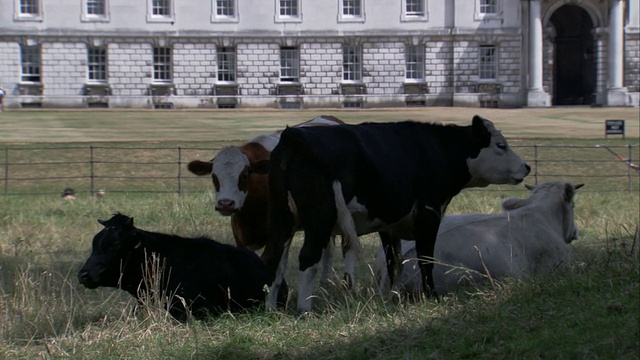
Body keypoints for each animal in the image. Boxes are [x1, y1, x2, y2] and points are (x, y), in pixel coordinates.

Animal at [264, 116, 528, 312]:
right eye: (501, 145)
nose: (526, 167)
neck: (436, 149)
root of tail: (293, 137)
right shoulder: (428, 215)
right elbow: (425, 259)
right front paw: (432, 295)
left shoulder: (389, 226)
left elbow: (395, 263)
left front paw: (390, 297)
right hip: (319, 219)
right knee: (307, 258)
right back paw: (304, 310)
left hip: (281, 222)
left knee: (274, 260)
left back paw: (271, 309)